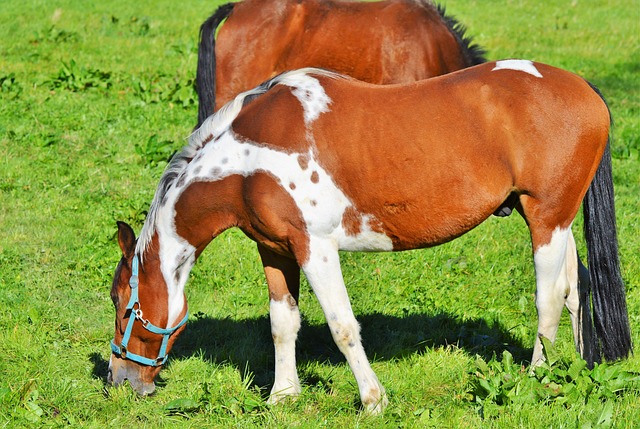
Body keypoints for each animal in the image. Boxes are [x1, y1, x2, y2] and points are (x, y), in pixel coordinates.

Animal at [109, 59, 632, 412]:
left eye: (122, 306)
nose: (119, 381)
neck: (247, 159)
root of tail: (584, 88)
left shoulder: (316, 248)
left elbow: (342, 326)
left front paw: (373, 398)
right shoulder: (275, 250)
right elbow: (283, 324)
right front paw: (283, 395)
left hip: (547, 219)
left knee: (550, 298)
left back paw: (537, 377)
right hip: (552, 220)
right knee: (575, 289)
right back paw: (573, 370)